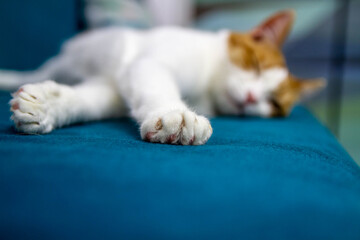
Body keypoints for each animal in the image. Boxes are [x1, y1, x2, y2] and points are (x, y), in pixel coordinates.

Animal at [0, 8, 324, 144]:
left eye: (274, 103)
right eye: (254, 64)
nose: (251, 97)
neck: (206, 89)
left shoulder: (114, 89)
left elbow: (86, 101)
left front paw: (48, 107)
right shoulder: (148, 63)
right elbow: (157, 85)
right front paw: (175, 115)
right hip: (67, 62)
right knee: (38, 71)